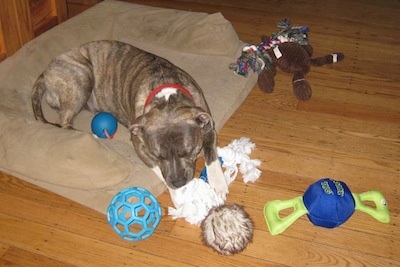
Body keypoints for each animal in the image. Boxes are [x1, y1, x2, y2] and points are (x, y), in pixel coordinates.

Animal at [32, 39, 228, 201]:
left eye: (188, 151)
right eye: (157, 155)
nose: (178, 182)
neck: (166, 97)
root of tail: (45, 71)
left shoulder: (208, 127)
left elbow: (211, 155)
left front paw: (218, 183)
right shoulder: (139, 146)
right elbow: (159, 170)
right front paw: (179, 195)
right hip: (82, 77)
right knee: (64, 121)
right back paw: (90, 136)